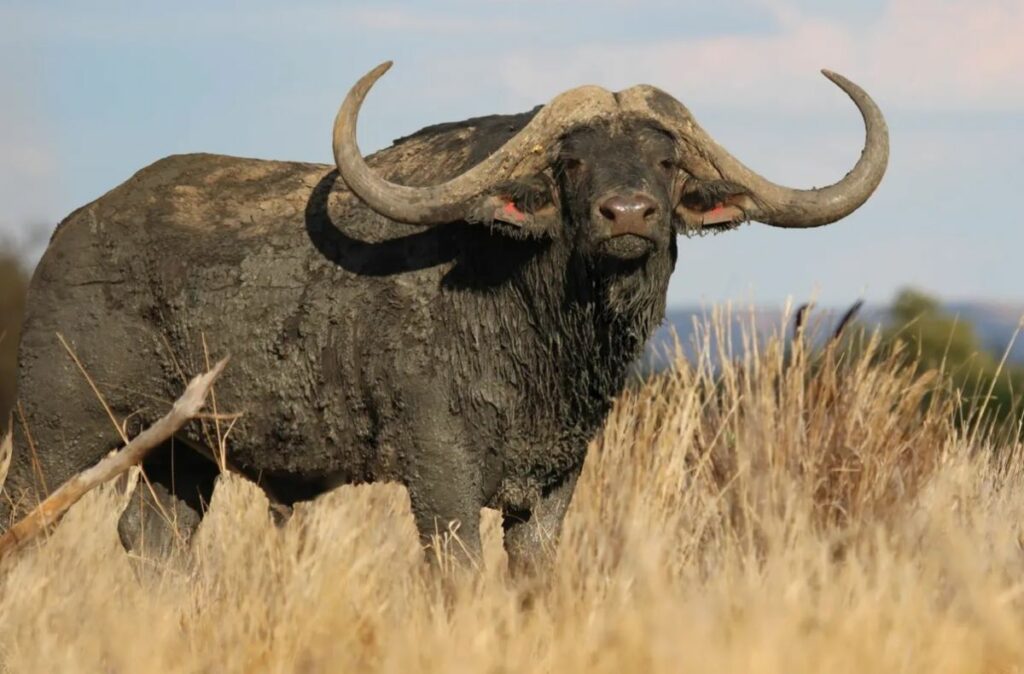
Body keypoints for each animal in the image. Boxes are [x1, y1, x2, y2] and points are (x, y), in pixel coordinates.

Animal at [2, 62, 887, 574]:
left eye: (666, 161)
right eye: (571, 160)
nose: (628, 214)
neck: (539, 329)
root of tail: (71, 231)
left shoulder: (553, 489)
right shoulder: (440, 477)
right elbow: (456, 574)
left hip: (182, 454)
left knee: (153, 541)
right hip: (58, 431)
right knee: (28, 520)